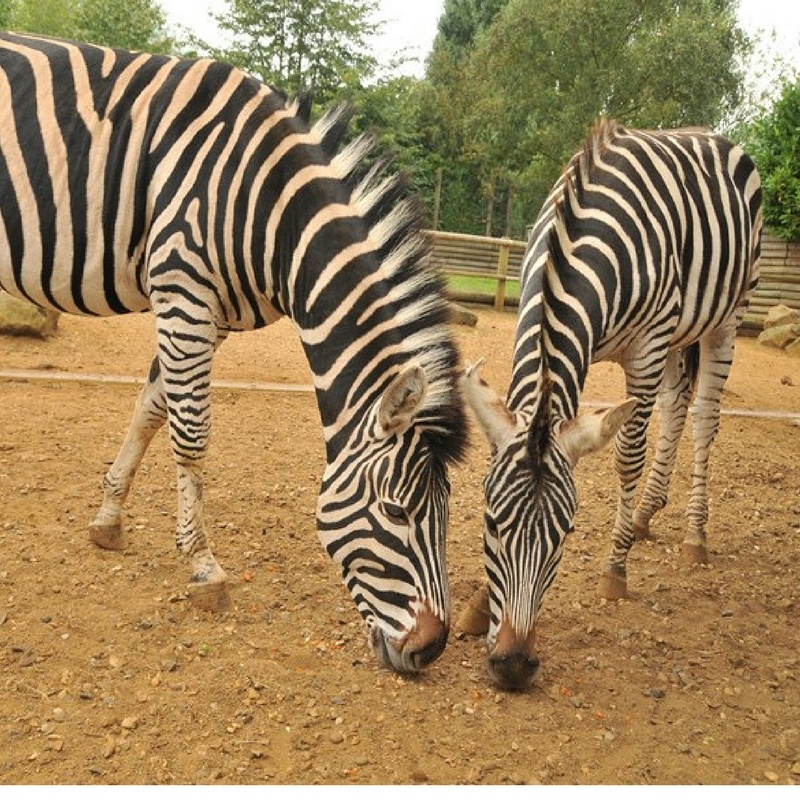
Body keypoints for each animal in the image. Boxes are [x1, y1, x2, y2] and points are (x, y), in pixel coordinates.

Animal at [0, 31, 468, 675]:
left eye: (447, 512)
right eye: (398, 513)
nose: (431, 649)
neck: (269, 213)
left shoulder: (208, 312)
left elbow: (152, 409)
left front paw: (109, 518)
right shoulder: (182, 290)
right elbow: (190, 433)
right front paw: (203, 566)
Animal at [461, 119, 762, 690]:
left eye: (567, 534)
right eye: (490, 522)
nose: (513, 666)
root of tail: (711, 135)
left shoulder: (646, 347)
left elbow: (628, 455)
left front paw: (615, 568)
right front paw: (477, 600)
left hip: (725, 318)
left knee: (703, 418)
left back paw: (694, 534)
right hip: (677, 337)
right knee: (676, 407)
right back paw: (644, 516)